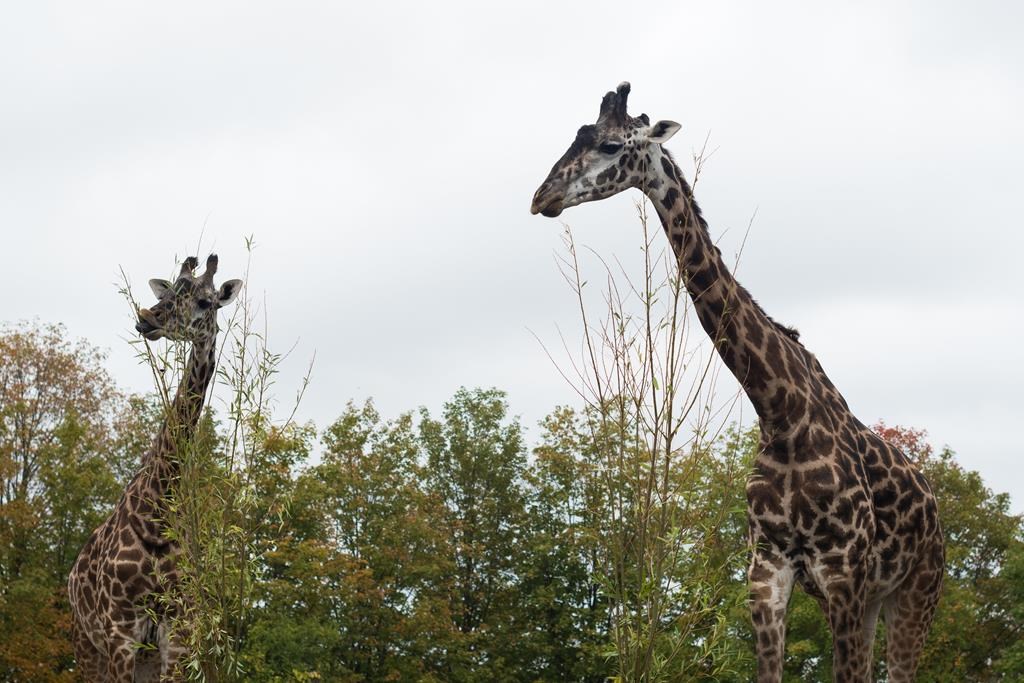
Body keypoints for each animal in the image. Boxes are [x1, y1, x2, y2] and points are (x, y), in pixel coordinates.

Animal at [68, 255, 243, 683]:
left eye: (206, 302)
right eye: (170, 291)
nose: (148, 318)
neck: (157, 510)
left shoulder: (176, 634)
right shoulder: (120, 633)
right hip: (86, 645)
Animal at [532, 82, 946, 679]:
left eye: (610, 145)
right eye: (577, 136)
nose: (542, 196)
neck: (779, 412)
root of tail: (936, 508)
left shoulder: (842, 571)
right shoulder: (767, 573)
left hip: (915, 592)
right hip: (873, 600)